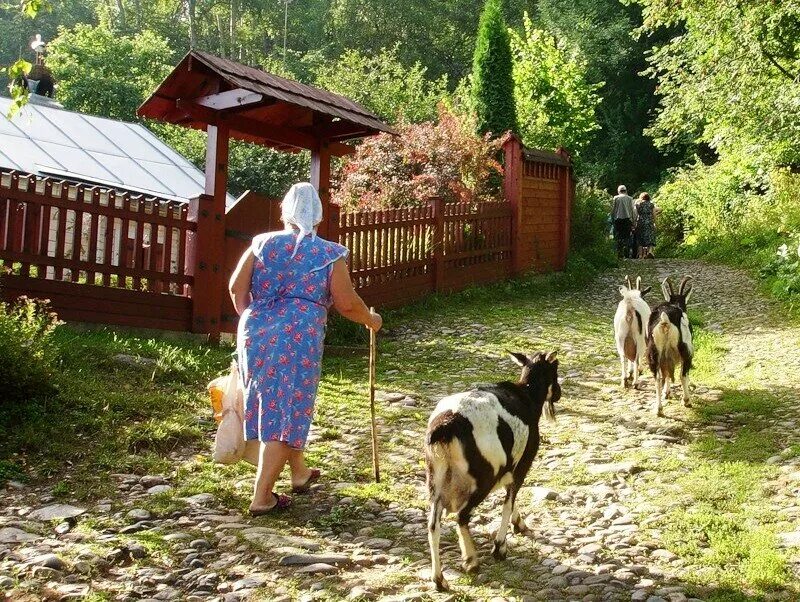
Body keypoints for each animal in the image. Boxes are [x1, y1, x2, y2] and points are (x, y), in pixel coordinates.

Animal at [422, 350, 560, 588]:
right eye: (555, 370)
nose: (559, 393)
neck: (527, 395)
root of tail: (447, 425)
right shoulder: (521, 466)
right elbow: (509, 500)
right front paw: (500, 546)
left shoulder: (509, 467)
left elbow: (510, 497)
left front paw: (519, 524)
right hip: (483, 478)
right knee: (462, 515)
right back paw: (471, 560)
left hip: (436, 480)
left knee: (433, 525)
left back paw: (439, 580)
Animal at [648, 274, 692, 414]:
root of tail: (665, 320)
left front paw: (666, 393)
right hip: (685, 349)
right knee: (683, 374)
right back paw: (686, 401)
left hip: (654, 352)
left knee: (658, 377)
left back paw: (659, 409)